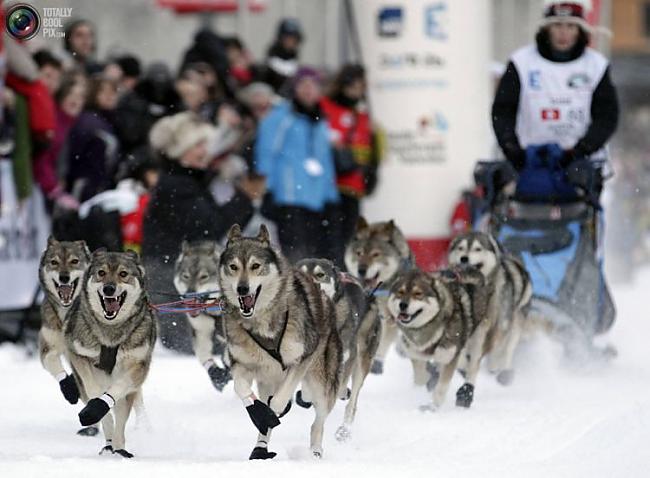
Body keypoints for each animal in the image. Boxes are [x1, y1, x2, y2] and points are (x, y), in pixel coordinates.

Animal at [64, 248, 156, 458]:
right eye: (101, 273)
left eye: (123, 273)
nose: (109, 289)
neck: (110, 332)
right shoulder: (79, 356)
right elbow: (94, 390)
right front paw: (94, 408)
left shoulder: (137, 365)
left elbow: (118, 392)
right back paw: (107, 443)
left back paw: (119, 447)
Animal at [218, 226, 342, 462]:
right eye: (233, 267)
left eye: (256, 266)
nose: (242, 289)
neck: (261, 319)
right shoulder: (242, 363)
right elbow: (241, 388)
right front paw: (258, 413)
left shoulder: (300, 360)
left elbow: (277, 403)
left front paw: (272, 411)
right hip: (266, 379)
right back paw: (260, 447)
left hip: (321, 382)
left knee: (318, 420)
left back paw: (315, 451)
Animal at [294, 260, 380, 442]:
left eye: (320, 275)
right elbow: (306, 391)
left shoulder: (347, 356)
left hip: (362, 357)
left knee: (352, 399)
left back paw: (344, 429)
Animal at [446, 233, 532, 386]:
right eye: (460, 248)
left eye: (478, 249)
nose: (464, 258)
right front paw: (463, 364)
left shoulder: (494, 327)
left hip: (515, 323)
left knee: (508, 348)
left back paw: (501, 368)